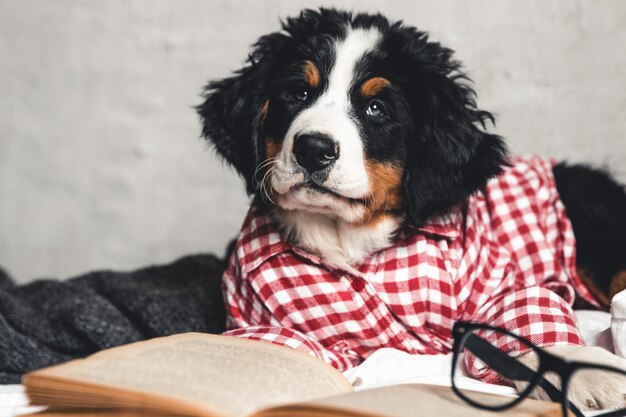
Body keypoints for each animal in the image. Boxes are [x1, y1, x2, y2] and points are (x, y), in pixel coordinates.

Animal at [195, 8, 624, 410]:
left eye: (376, 108)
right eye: (298, 93)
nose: (313, 149)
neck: (349, 239)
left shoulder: (493, 281)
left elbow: (526, 308)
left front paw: (585, 372)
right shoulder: (256, 316)